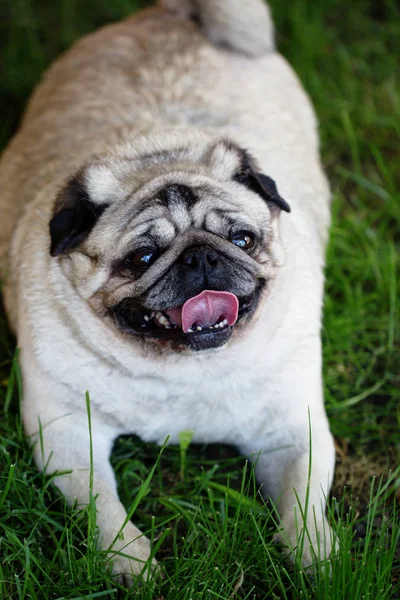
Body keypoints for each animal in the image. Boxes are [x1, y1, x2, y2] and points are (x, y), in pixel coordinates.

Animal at [0, 0, 336, 584]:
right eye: (142, 258)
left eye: (242, 239)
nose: (200, 256)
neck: (184, 371)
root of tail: (171, 12)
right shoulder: (64, 429)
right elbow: (98, 501)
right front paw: (128, 560)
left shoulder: (295, 432)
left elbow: (304, 500)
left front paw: (314, 555)